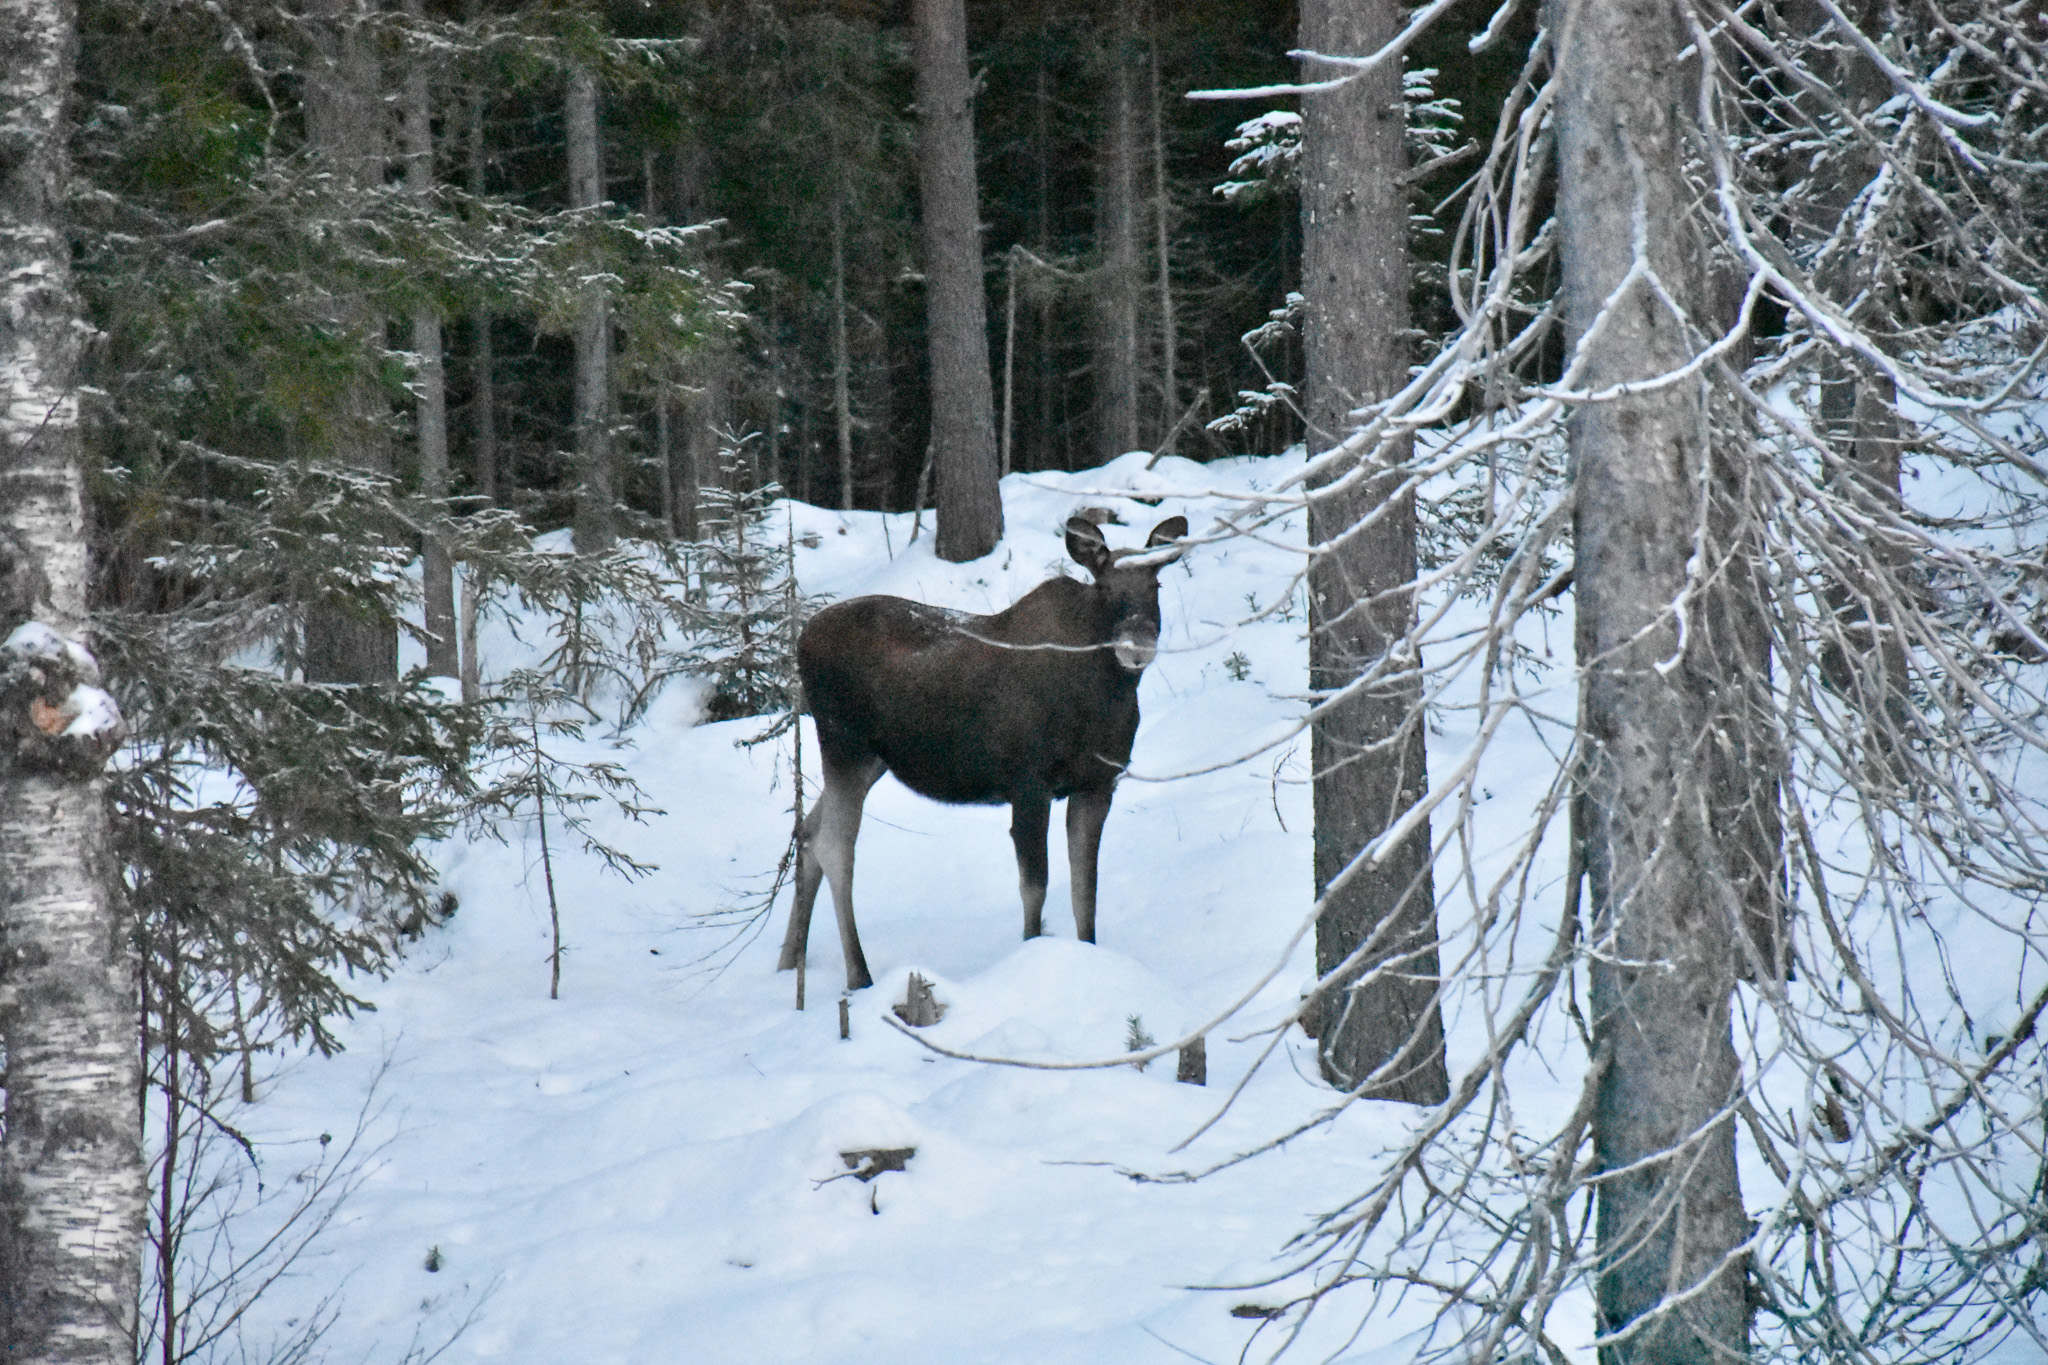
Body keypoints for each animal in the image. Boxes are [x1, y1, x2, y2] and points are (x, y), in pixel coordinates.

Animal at [777, 514, 1190, 991]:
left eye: (1156, 585)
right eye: (1104, 588)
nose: (1136, 646)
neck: (1102, 700)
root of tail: (801, 641)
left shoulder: (1098, 785)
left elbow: (1085, 890)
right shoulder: (1029, 784)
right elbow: (1036, 885)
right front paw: (1031, 950)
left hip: (871, 761)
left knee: (807, 832)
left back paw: (788, 962)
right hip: (845, 743)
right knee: (834, 846)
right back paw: (859, 975)